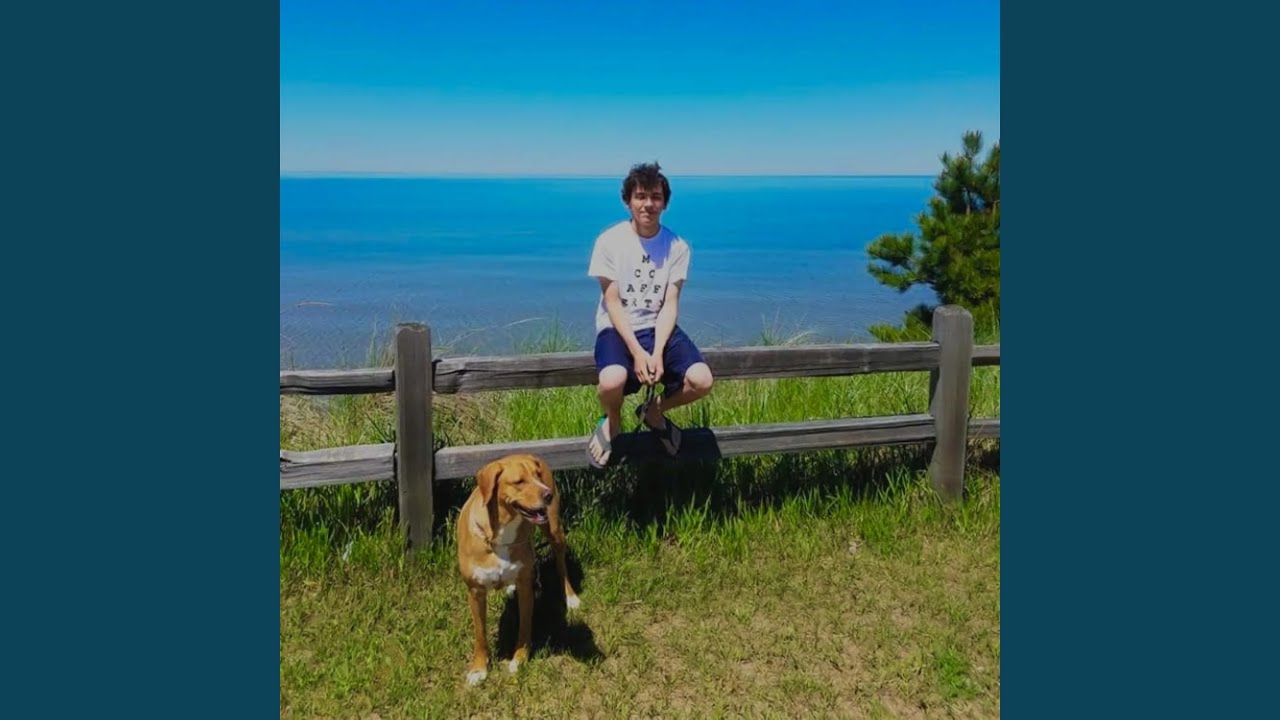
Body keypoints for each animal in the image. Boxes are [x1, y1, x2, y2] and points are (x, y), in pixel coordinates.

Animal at [456, 453, 580, 685]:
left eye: (537, 475)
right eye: (519, 481)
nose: (548, 494)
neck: (499, 537)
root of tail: (527, 452)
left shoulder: (525, 588)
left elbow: (524, 626)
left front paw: (519, 658)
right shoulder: (475, 591)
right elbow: (480, 633)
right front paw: (479, 669)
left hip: (554, 530)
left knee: (561, 565)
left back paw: (571, 597)